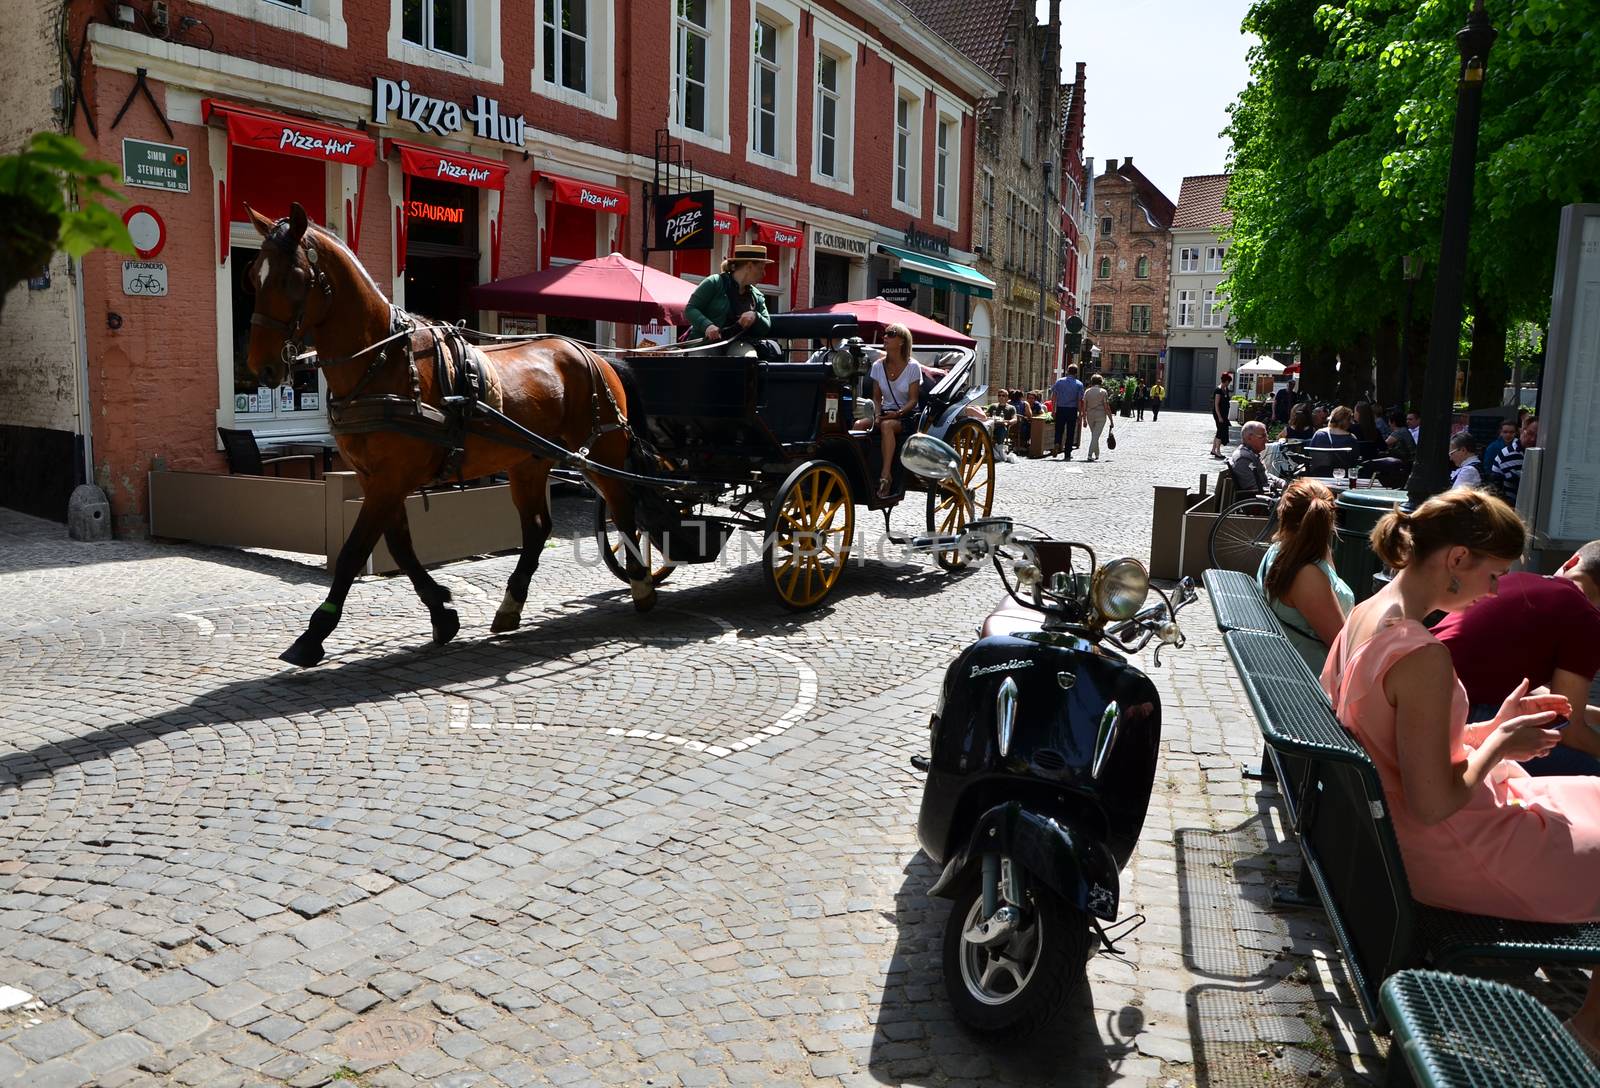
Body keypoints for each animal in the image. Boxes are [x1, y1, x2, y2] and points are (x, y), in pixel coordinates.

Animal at [243, 200, 656, 668]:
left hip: (602, 453)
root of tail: (596, 356)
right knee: (537, 529)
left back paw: (641, 584)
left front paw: (315, 632)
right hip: (529, 462)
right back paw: (511, 606)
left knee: (624, 510)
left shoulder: (389, 479)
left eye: (293, 277)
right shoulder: (375, 479)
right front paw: (442, 611)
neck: (382, 363)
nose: (260, 367)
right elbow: (399, 546)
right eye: (252, 274)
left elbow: (354, 551)